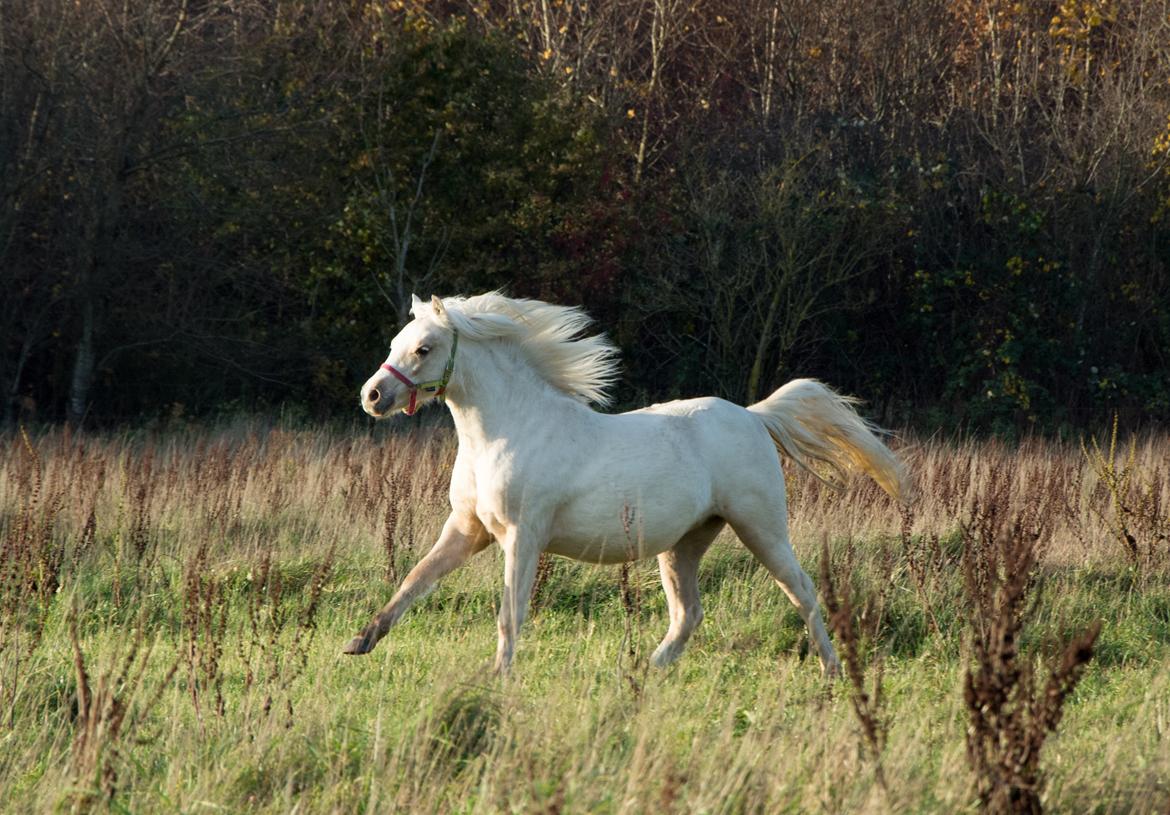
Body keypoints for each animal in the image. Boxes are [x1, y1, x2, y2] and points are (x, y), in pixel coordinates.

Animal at [344, 292, 908, 676]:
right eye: (395, 344)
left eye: (424, 348)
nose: (372, 396)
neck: (507, 431)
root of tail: (753, 416)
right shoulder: (467, 529)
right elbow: (415, 579)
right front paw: (359, 642)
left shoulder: (522, 537)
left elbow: (510, 612)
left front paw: (498, 674)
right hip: (685, 543)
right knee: (687, 613)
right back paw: (643, 670)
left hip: (761, 527)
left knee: (804, 592)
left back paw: (832, 670)